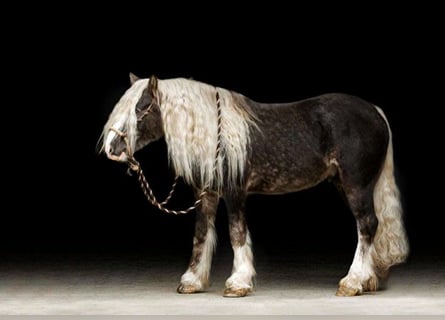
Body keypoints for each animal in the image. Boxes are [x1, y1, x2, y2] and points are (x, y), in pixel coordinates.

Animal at [99, 73, 408, 298]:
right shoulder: (206, 194)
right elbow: (201, 235)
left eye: (141, 109)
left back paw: (352, 282)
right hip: (347, 186)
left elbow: (236, 233)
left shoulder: (235, 192)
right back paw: (368, 280)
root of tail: (374, 111)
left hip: (357, 185)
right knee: (369, 227)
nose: (112, 148)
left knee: (367, 225)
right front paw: (192, 281)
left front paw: (238, 283)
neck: (217, 134)